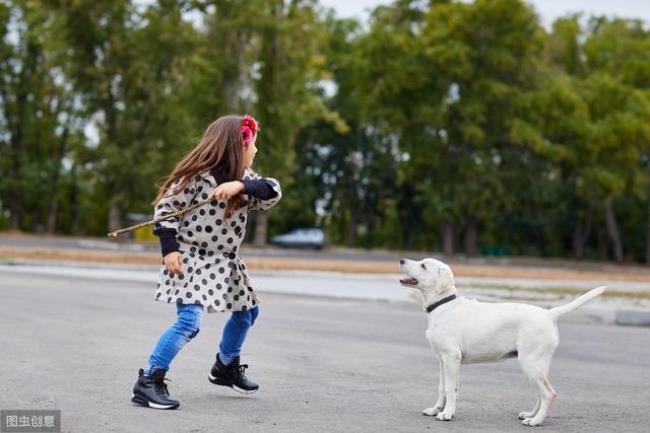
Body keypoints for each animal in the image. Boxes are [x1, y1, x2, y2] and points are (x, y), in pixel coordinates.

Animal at [398, 256, 604, 426]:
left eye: (423, 265)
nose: (401, 260)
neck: (443, 304)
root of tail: (549, 313)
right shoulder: (442, 359)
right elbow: (443, 388)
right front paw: (435, 410)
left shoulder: (451, 357)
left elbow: (450, 388)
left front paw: (447, 414)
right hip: (538, 364)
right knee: (541, 393)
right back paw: (530, 414)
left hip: (530, 362)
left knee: (549, 393)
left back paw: (535, 421)